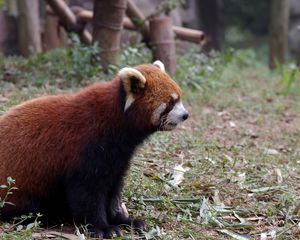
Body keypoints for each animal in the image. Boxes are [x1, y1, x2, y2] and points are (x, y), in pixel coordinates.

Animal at [0, 60, 188, 238]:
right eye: (170, 102)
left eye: (179, 98)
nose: (185, 115)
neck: (116, 120)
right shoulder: (86, 147)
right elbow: (87, 193)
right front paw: (103, 228)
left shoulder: (118, 157)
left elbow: (113, 190)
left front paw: (124, 220)